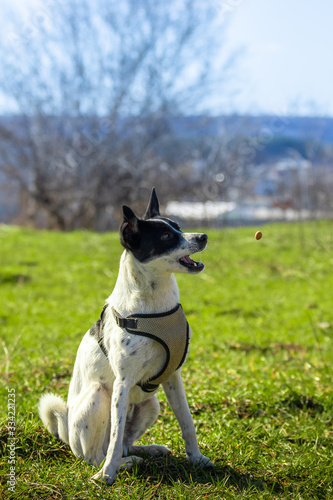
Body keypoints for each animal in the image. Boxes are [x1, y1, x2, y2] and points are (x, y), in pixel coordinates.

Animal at [38, 188, 210, 484]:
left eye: (178, 226)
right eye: (165, 236)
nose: (203, 237)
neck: (154, 304)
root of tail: (66, 436)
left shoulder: (174, 377)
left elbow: (187, 422)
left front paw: (196, 459)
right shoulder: (123, 382)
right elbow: (116, 439)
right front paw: (107, 475)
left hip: (151, 404)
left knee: (127, 443)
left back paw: (146, 451)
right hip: (99, 397)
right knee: (100, 452)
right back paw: (120, 464)